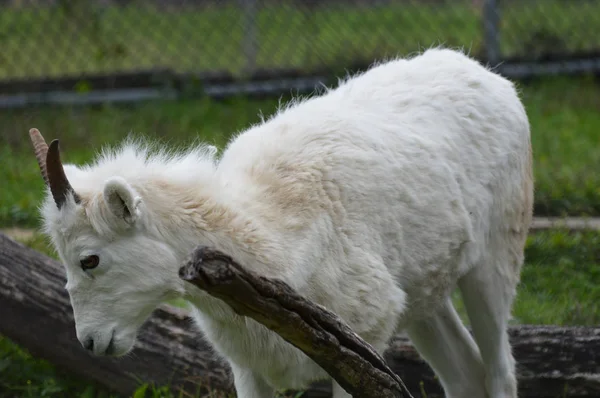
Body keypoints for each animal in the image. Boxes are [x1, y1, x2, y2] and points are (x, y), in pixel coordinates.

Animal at [31, 49, 528, 398]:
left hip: (493, 269)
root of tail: (491, 79)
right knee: (465, 376)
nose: (91, 342)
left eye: (89, 260)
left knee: (500, 373)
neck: (274, 239)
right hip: (426, 305)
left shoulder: (356, 355)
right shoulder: (249, 371)